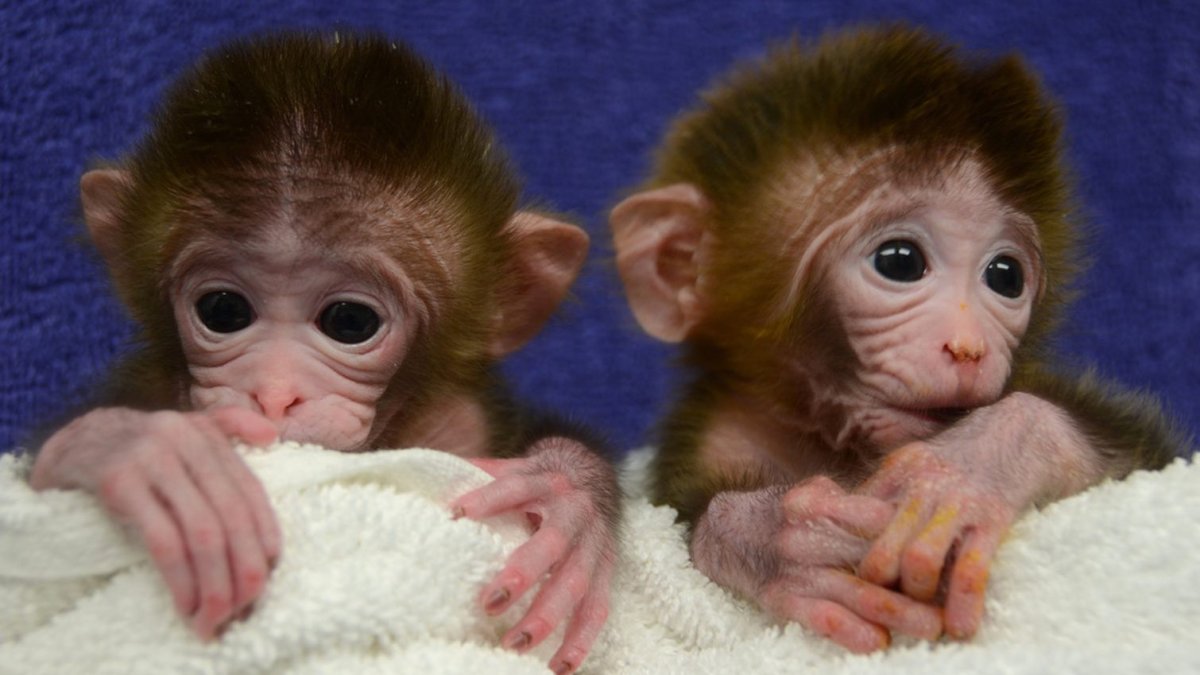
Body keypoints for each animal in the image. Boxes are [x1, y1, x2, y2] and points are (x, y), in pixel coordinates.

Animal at [26, 32, 617, 675]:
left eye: (350, 322)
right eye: (223, 311)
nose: (274, 394)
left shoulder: (464, 422)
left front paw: (567, 497)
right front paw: (149, 452)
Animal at [610, 25, 1188, 654]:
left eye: (1005, 276)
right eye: (900, 261)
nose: (968, 347)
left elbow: (1143, 461)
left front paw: (968, 469)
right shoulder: (719, 436)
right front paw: (781, 540)